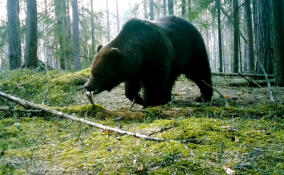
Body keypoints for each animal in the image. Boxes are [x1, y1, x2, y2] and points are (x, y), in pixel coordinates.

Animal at [85, 16, 213, 107]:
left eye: (96, 73)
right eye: (91, 71)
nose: (87, 86)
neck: (140, 53)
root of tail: (191, 24)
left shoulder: (155, 56)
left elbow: (154, 82)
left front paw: (151, 102)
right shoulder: (135, 69)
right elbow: (131, 88)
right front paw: (140, 100)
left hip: (191, 50)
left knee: (200, 71)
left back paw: (204, 96)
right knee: (171, 79)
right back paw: (167, 97)